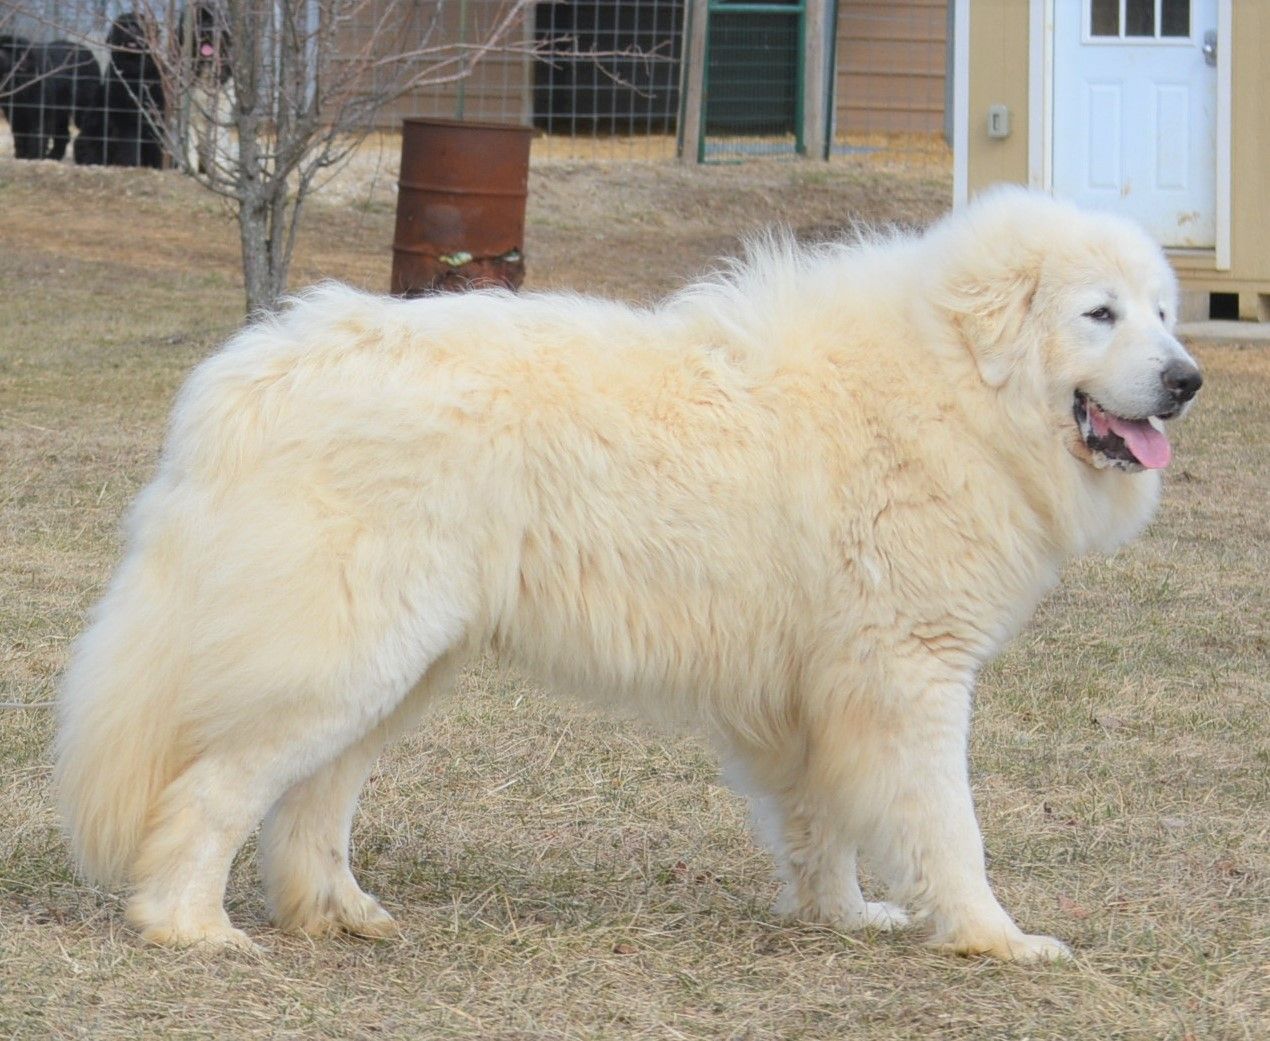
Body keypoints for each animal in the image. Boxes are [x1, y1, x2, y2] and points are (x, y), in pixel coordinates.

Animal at [52, 189, 1198, 959]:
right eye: (1099, 313)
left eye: (1164, 312)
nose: (1187, 378)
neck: (956, 382)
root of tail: (253, 367)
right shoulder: (908, 677)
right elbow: (948, 826)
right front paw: (991, 936)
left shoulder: (813, 692)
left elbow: (822, 819)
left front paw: (840, 914)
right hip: (343, 655)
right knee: (219, 789)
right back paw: (189, 926)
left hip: (396, 665)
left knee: (311, 801)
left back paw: (338, 913)